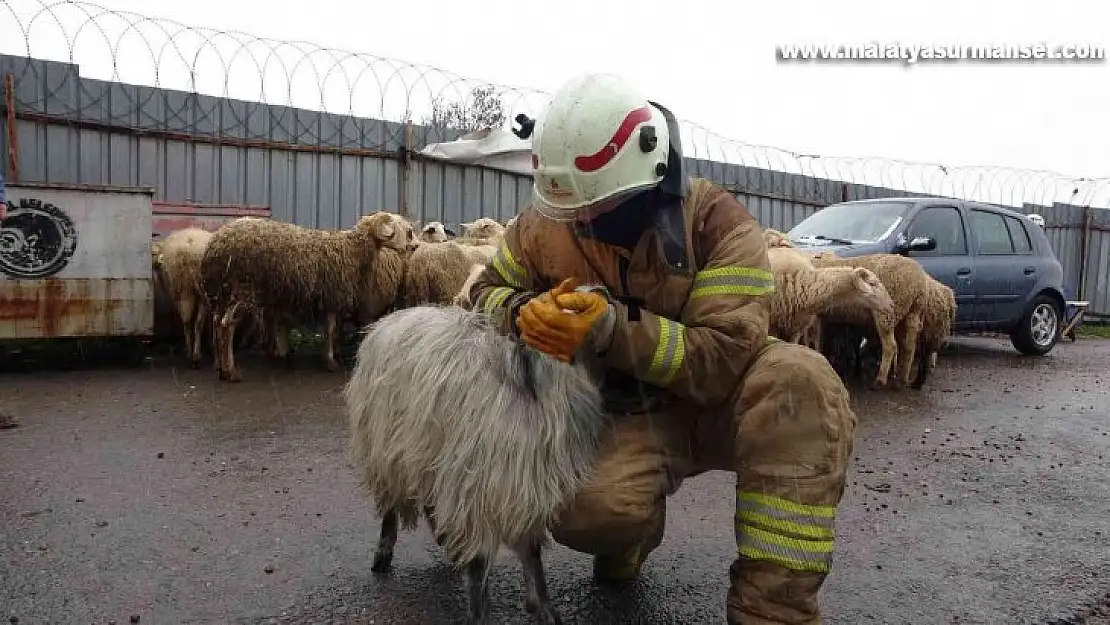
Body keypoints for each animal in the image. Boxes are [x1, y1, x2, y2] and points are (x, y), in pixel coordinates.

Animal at [199, 213, 417, 381]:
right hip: (241, 288)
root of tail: (216, 246)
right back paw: (231, 372)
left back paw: (220, 367)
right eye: (404, 230)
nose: (415, 246)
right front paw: (330, 362)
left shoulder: (328, 298)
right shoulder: (332, 296)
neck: (351, 250)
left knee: (216, 322)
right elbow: (330, 330)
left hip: (222, 292)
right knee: (226, 326)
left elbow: (331, 330)